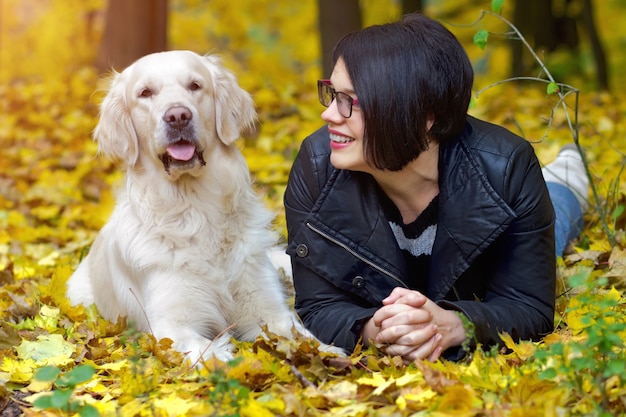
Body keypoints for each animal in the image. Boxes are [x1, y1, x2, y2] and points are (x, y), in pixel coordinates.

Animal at [67, 50, 338, 362]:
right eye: (145, 93)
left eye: (195, 85)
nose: (178, 116)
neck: (196, 208)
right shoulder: (171, 325)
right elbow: (210, 353)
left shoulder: (267, 307)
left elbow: (300, 335)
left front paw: (330, 353)